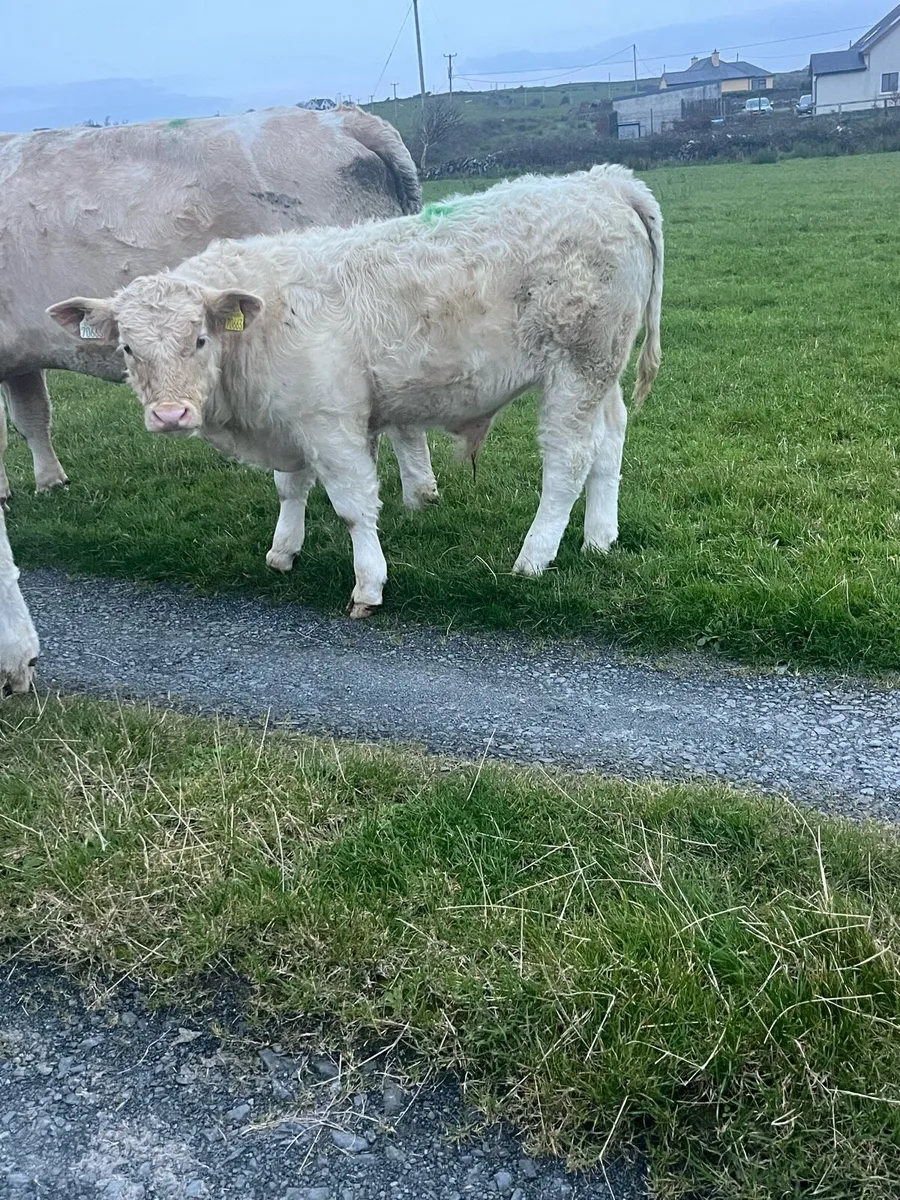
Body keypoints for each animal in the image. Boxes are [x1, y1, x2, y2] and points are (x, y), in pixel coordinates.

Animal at [49, 165, 663, 620]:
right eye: (128, 348)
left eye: (199, 339)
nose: (170, 414)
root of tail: (604, 181)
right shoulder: (292, 417)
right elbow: (290, 488)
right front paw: (283, 550)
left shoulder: (330, 421)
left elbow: (352, 505)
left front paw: (369, 585)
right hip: (602, 370)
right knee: (609, 445)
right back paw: (599, 540)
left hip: (577, 368)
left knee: (567, 461)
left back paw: (534, 558)